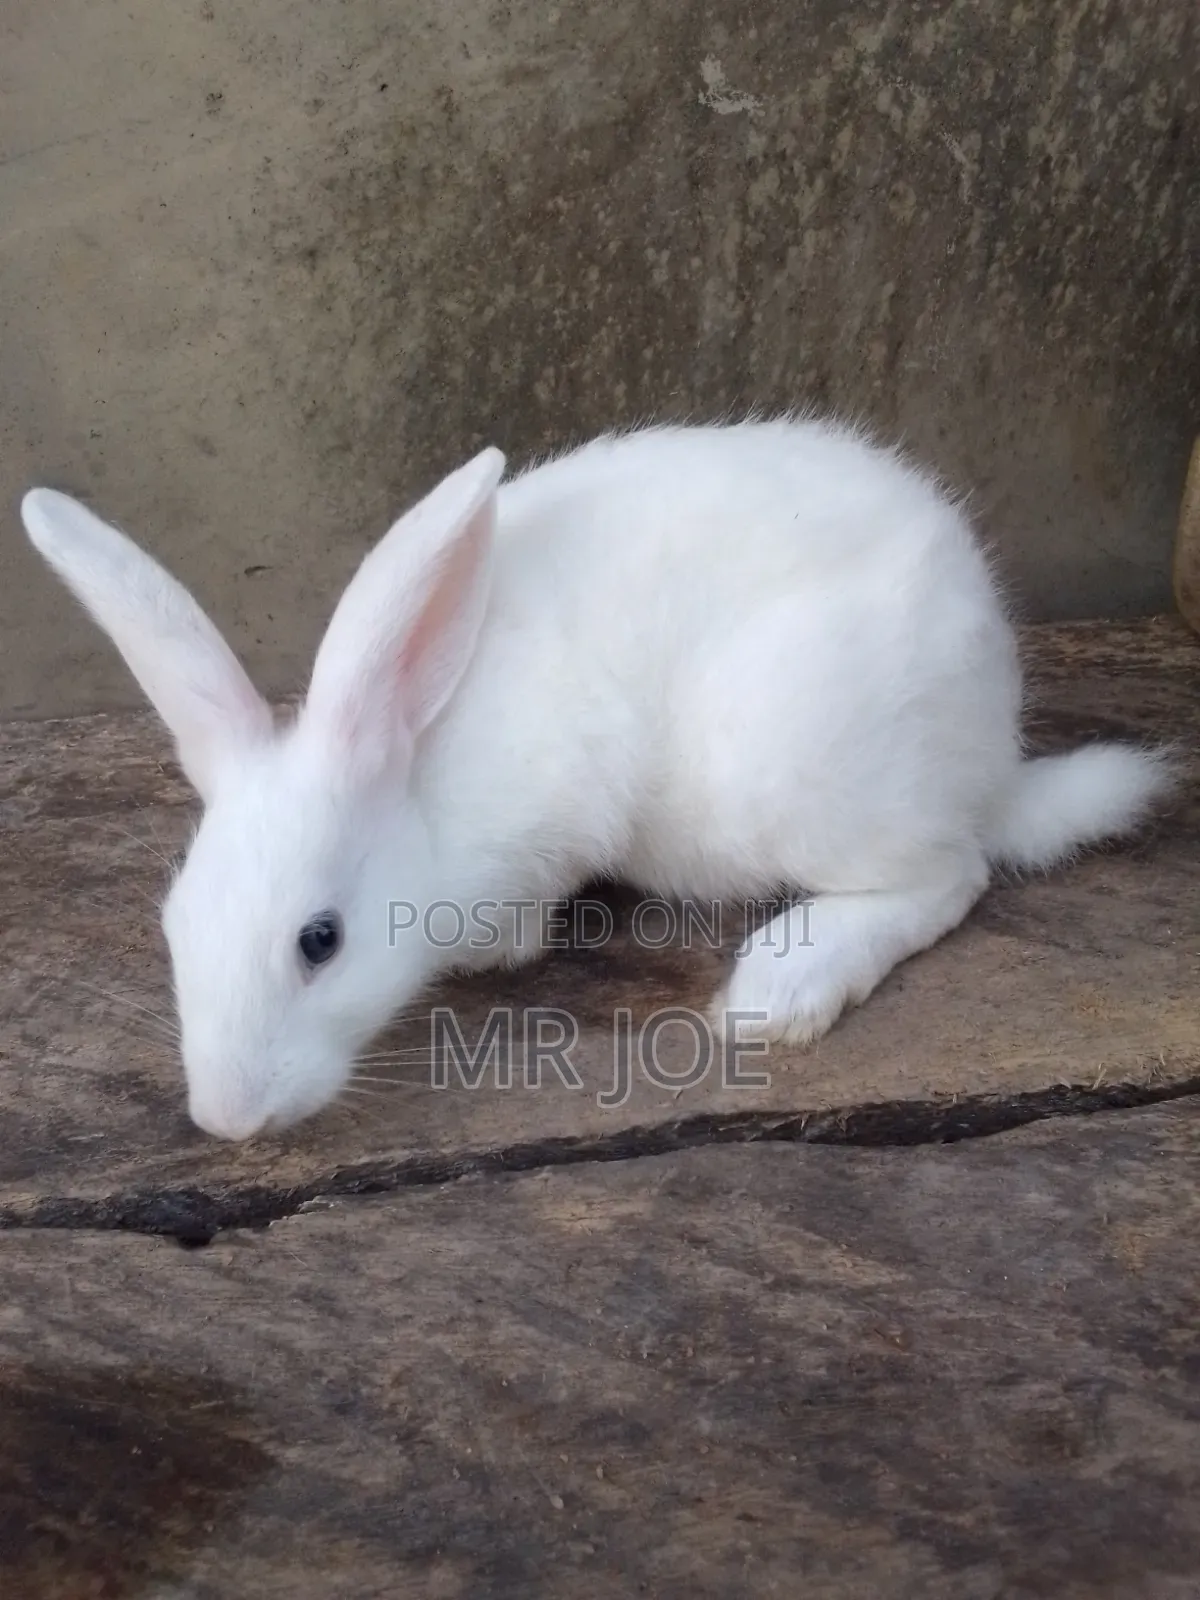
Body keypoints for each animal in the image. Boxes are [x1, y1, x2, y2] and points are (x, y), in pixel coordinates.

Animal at [20, 415, 1176, 1140]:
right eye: (173, 927)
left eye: (319, 942)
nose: (226, 1118)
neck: (416, 782)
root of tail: (995, 756)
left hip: (802, 775)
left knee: (949, 876)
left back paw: (784, 984)